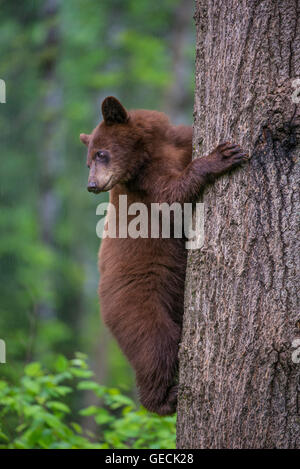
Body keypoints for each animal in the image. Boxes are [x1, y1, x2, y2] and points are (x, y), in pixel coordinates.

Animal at [79, 95, 248, 414]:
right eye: (89, 159)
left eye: (100, 154)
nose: (91, 185)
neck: (151, 151)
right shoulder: (145, 186)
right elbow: (173, 196)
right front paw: (221, 156)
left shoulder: (176, 143)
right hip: (136, 305)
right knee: (156, 348)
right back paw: (164, 399)